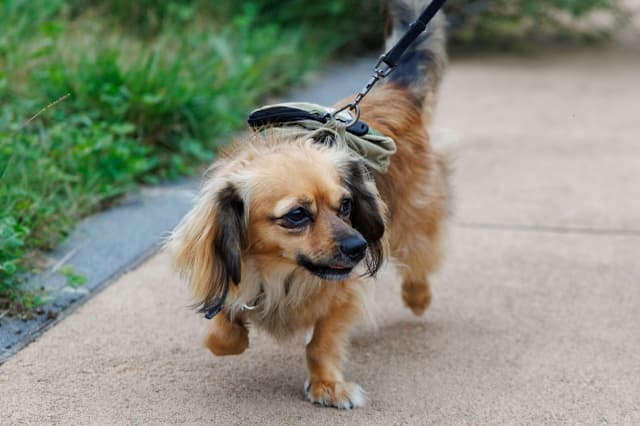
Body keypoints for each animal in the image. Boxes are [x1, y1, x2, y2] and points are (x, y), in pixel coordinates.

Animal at [170, 0, 450, 410]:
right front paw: (235, 334)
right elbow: (221, 334)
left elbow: (322, 341)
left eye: (346, 205)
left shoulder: (343, 294)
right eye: (297, 215)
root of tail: (392, 90)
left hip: (415, 216)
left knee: (420, 258)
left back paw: (418, 297)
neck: (281, 273)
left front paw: (327, 385)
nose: (358, 246)